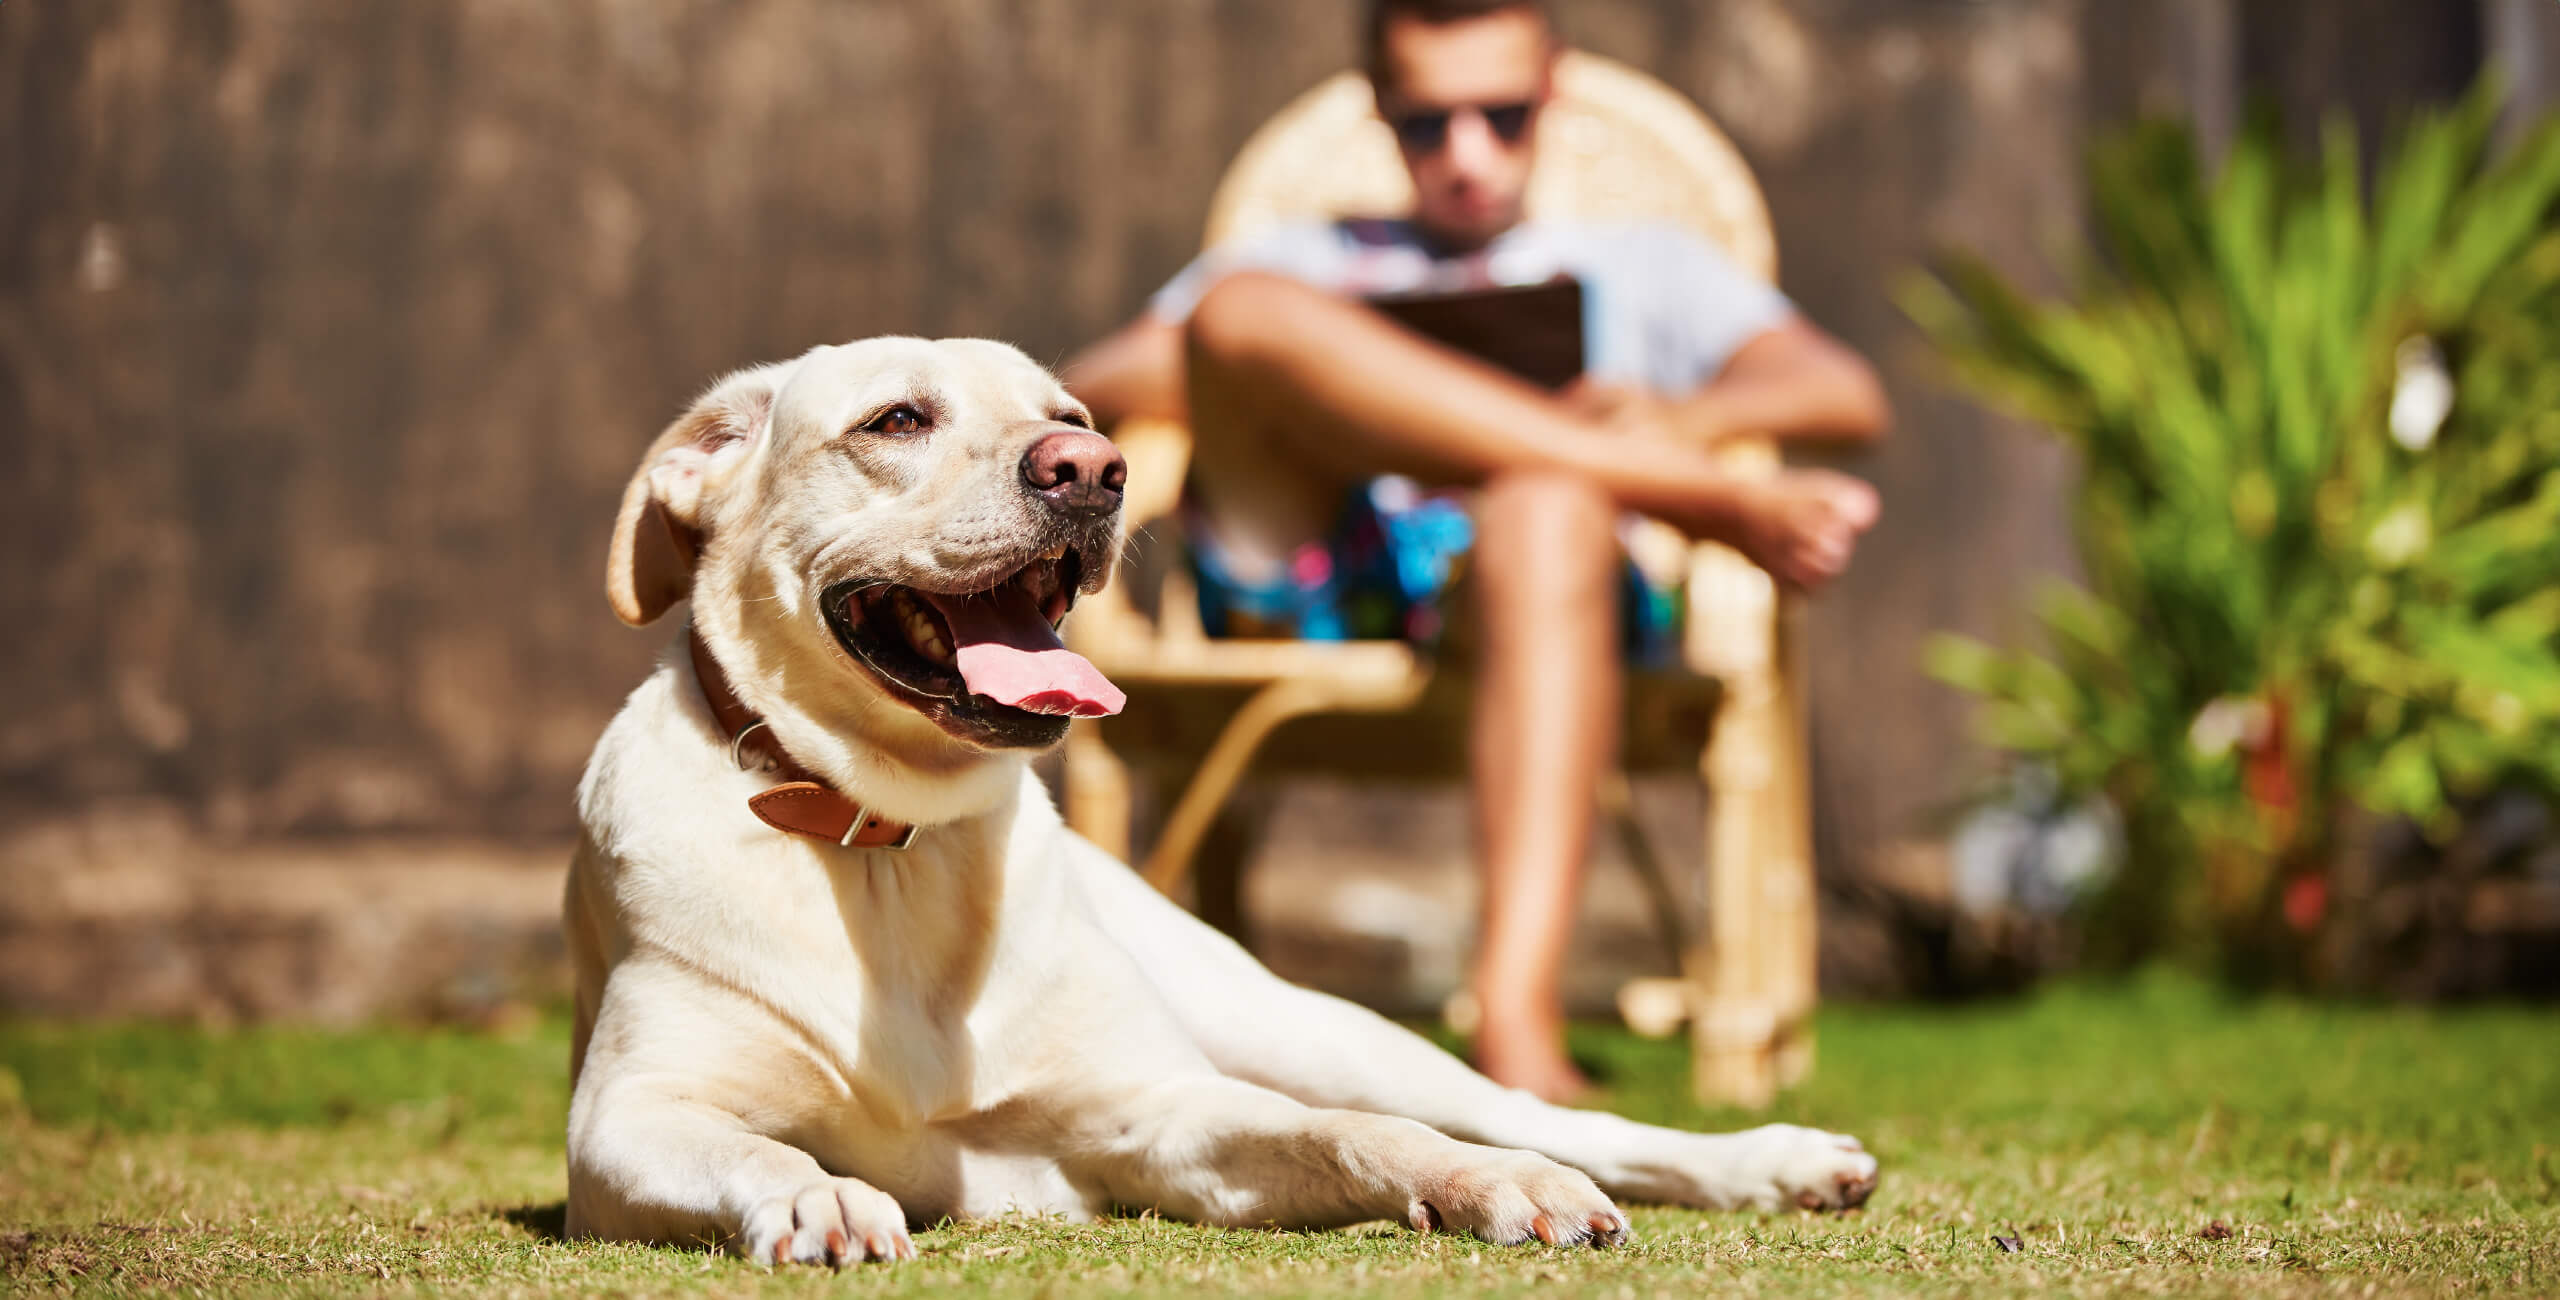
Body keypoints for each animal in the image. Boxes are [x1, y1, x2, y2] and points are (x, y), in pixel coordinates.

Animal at [565, 337, 1884, 1269]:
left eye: (1071, 417)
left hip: (1321, 1030)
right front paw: (818, 1192)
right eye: (897, 419)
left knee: (1544, 1118)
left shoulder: (1160, 1113)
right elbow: (748, 1143)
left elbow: (1357, 1134)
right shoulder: (623, 1123)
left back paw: (1771, 1160)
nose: (1091, 472)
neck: (891, 846)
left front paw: (1492, 1181)